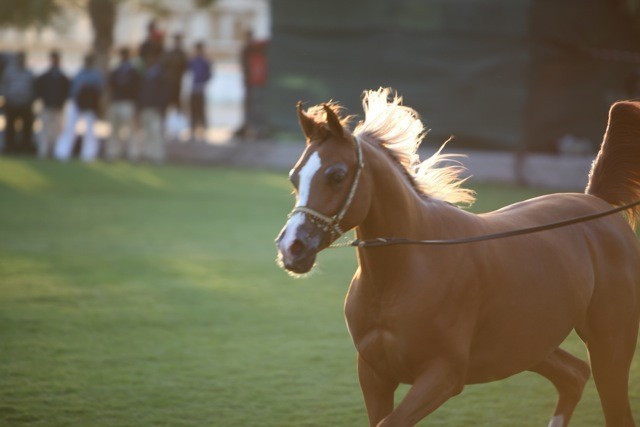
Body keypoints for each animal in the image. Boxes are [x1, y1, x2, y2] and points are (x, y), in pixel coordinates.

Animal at [276, 88, 640, 426]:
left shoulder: (444, 375)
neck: (401, 276)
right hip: (530, 344)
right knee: (574, 374)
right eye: (294, 176)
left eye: (337, 174)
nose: (292, 247)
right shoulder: (374, 374)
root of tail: (597, 202)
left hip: (610, 345)